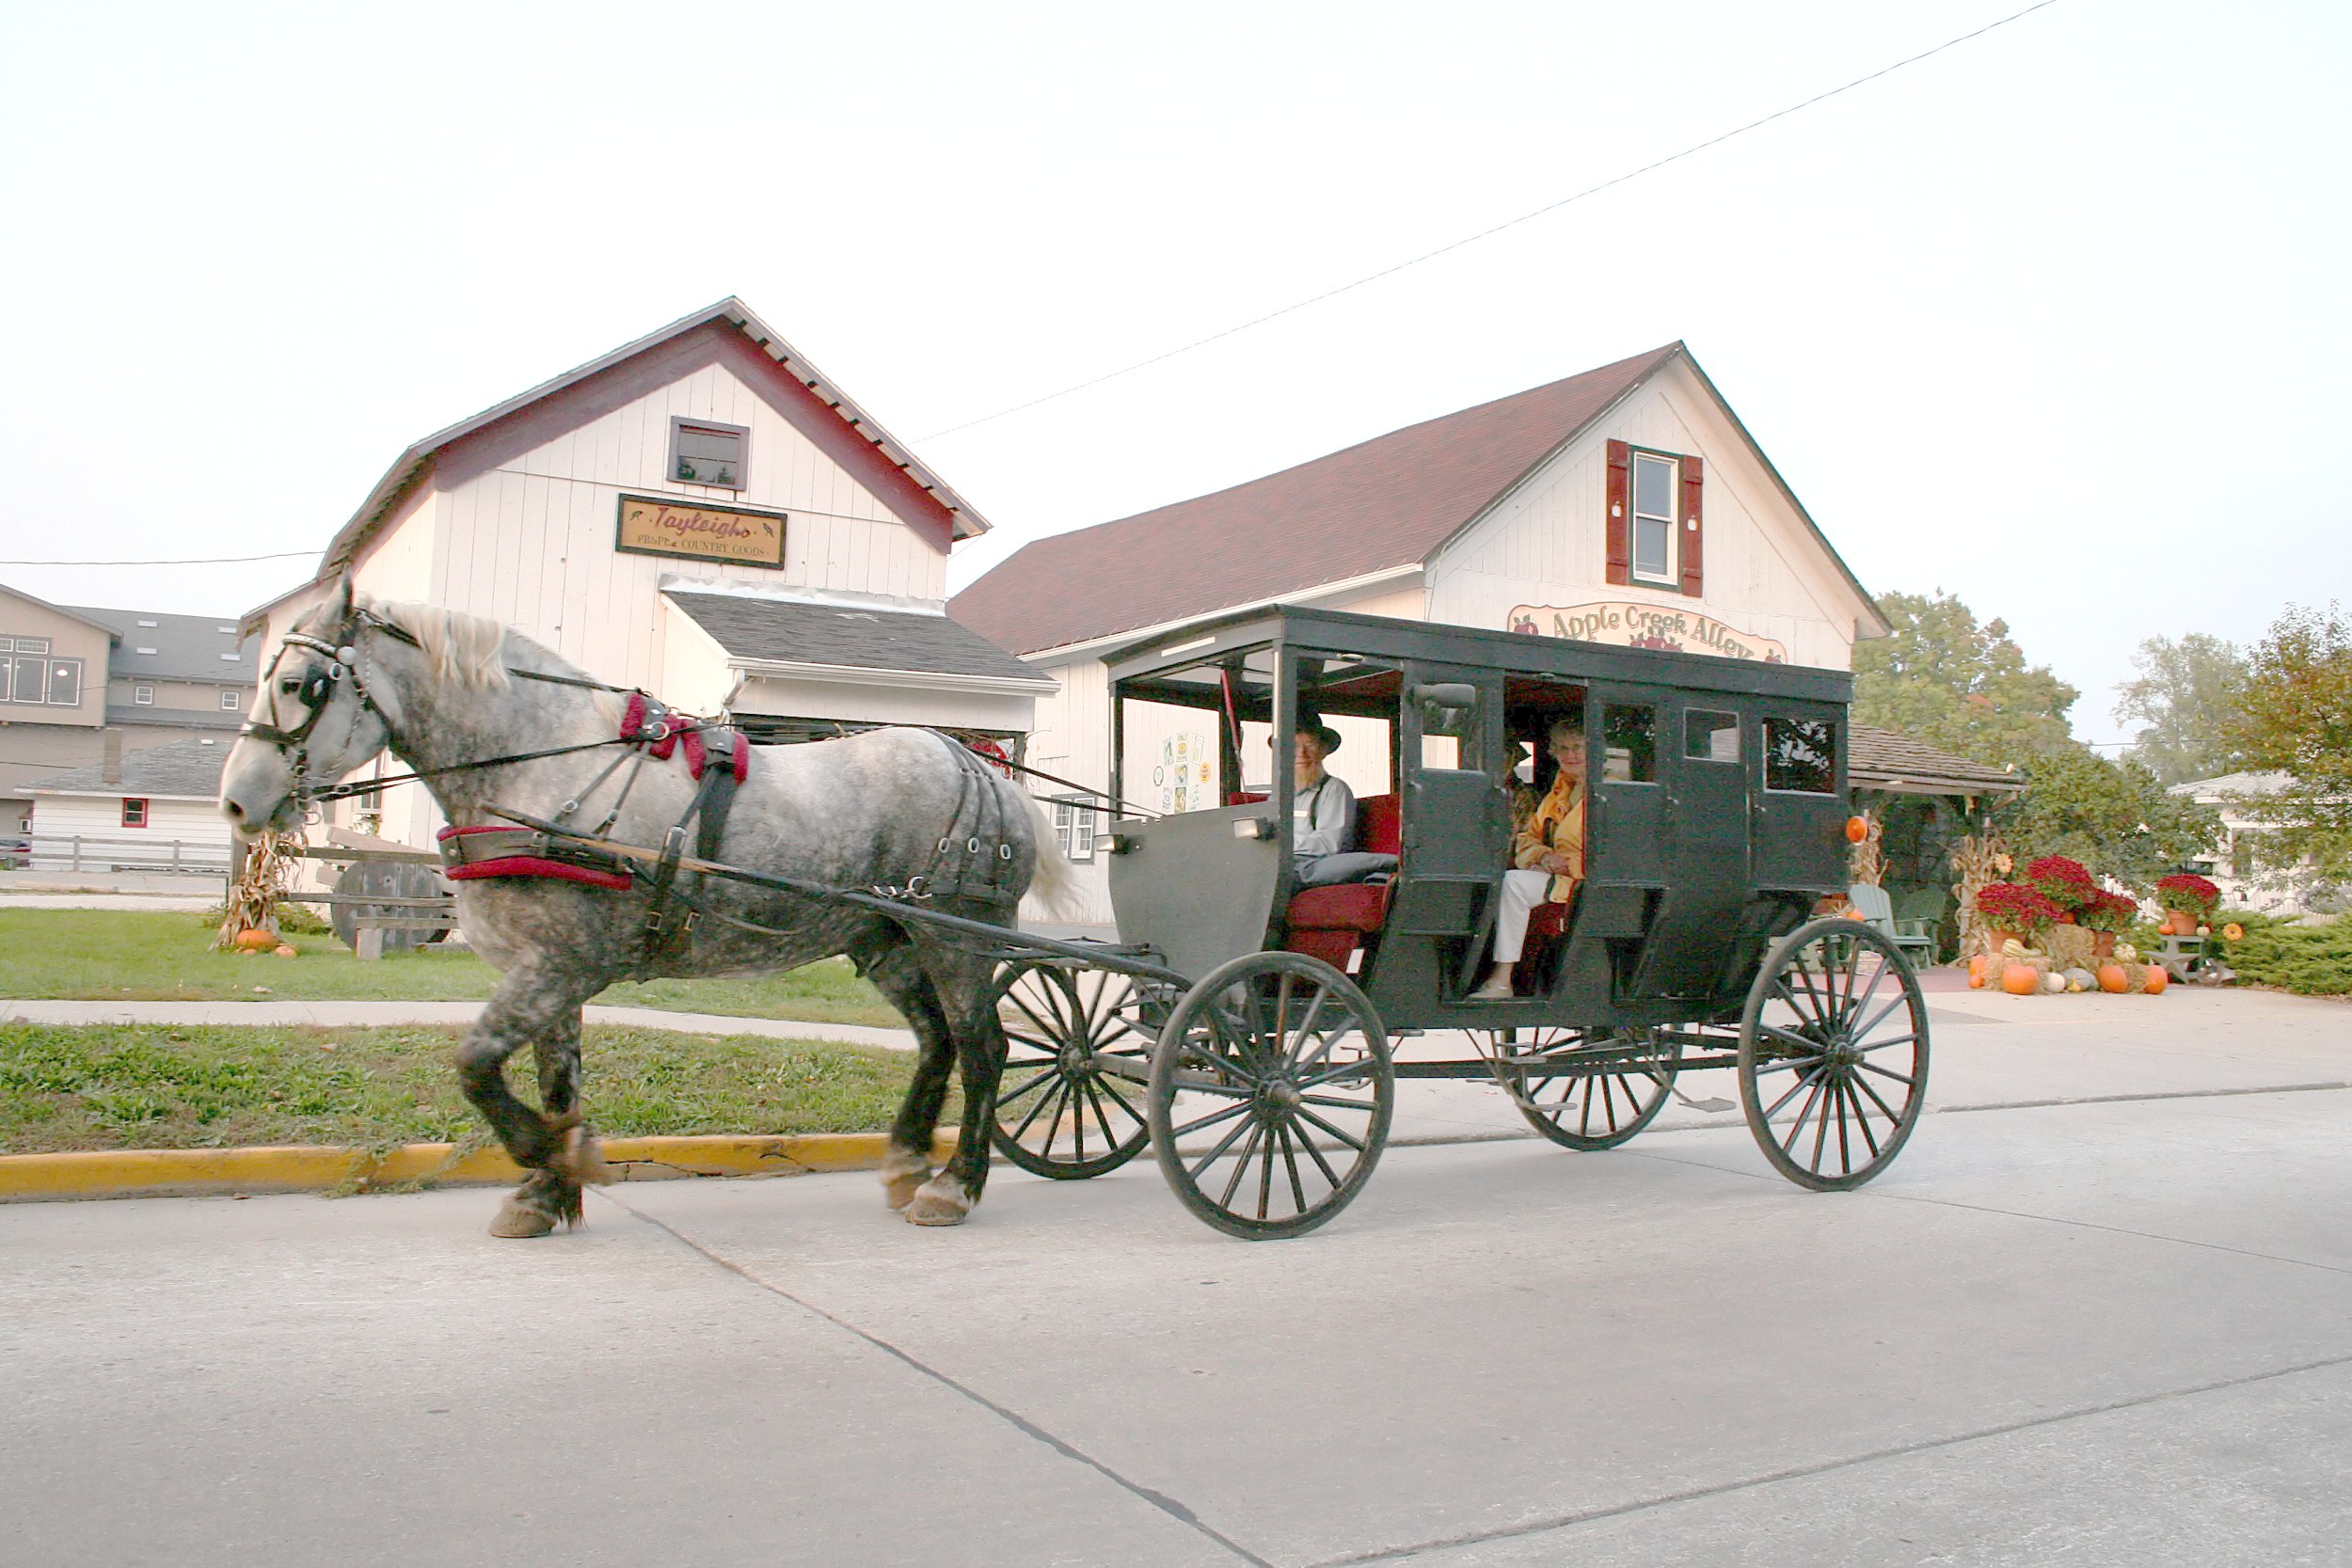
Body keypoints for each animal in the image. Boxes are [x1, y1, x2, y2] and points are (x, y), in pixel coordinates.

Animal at [221, 585, 1068, 1241]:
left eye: (302, 683)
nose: (236, 799)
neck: (547, 768)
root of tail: (981, 766)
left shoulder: (557, 966)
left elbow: (474, 1065)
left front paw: (553, 1155)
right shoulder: (552, 971)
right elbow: (553, 1079)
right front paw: (547, 1189)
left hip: (956, 936)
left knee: (984, 1047)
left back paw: (953, 1185)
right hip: (886, 940)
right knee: (936, 1040)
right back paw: (907, 1159)